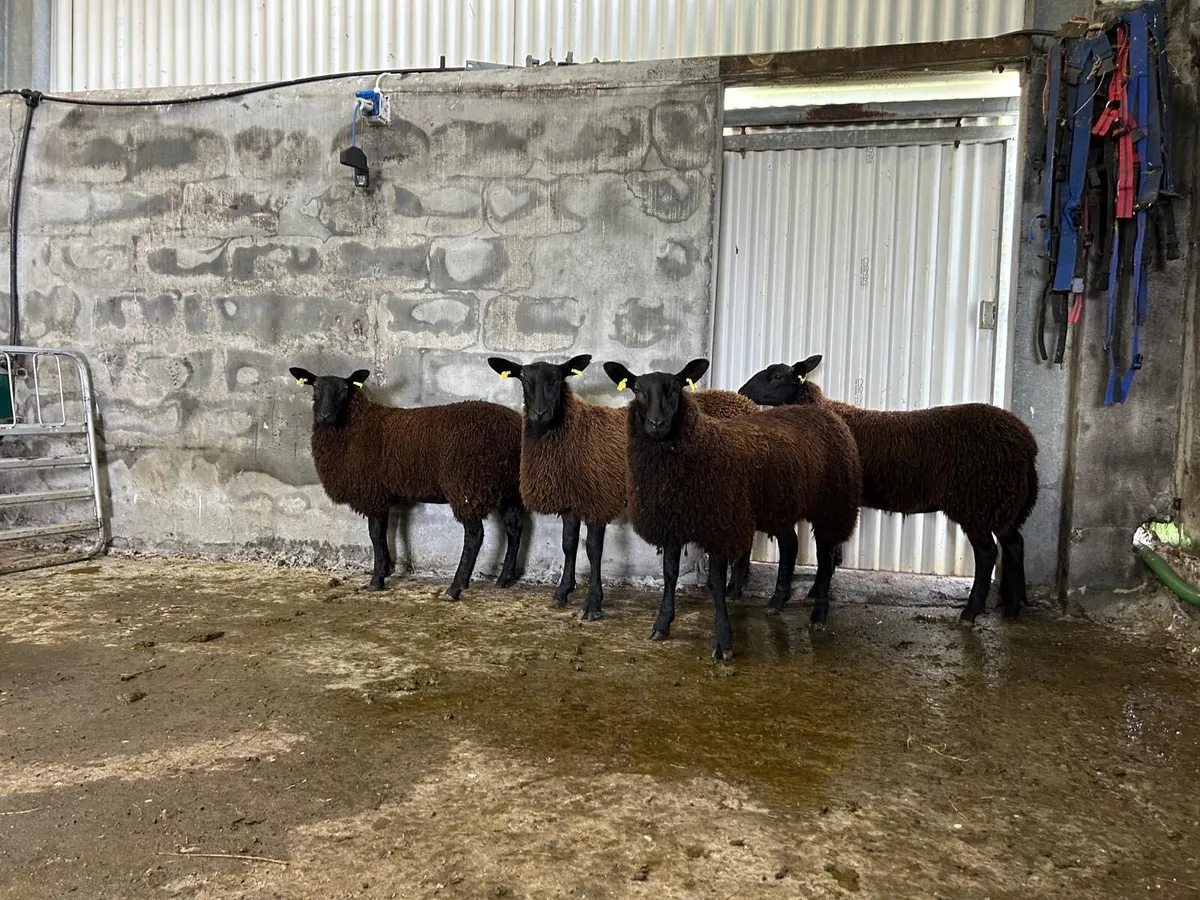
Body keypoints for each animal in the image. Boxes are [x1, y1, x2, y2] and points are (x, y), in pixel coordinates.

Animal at [289, 365, 524, 600]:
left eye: (344, 389)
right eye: (316, 386)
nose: (324, 416)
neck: (355, 424)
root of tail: (513, 428)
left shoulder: (373, 492)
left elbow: (375, 534)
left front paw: (377, 579)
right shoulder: (384, 493)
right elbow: (385, 532)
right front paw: (386, 569)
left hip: (467, 485)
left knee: (475, 536)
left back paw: (455, 588)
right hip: (507, 487)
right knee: (514, 527)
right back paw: (504, 578)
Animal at [486, 353, 759, 620]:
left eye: (557, 378)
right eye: (523, 377)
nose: (540, 413)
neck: (577, 433)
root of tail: (743, 401)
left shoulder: (598, 498)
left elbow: (593, 550)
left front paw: (593, 605)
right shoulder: (572, 499)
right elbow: (569, 544)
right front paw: (563, 592)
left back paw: (734, 589)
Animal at [602, 358, 862, 659]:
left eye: (676, 388)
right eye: (637, 390)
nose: (657, 423)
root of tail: (823, 413)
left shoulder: (720, 527)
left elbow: (716, 583)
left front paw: (724, 642)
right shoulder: (673, 523)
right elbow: (670, 575)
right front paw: (662, 624)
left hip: (833, 504)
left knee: (825, 557)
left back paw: (819, 614)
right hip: (779, 505)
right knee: (791, 545)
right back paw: (776, 603)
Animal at [738, 355, 1039, 623]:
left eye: (777, 376)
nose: (742, 391)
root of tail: (1027, 442)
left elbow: (828, 552)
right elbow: (834, 552)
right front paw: (815, 593)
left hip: (979, 501)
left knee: (988, 554)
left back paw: (971, 613)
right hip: (1003, 502)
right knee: (1015, 543)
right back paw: (1015, 607)